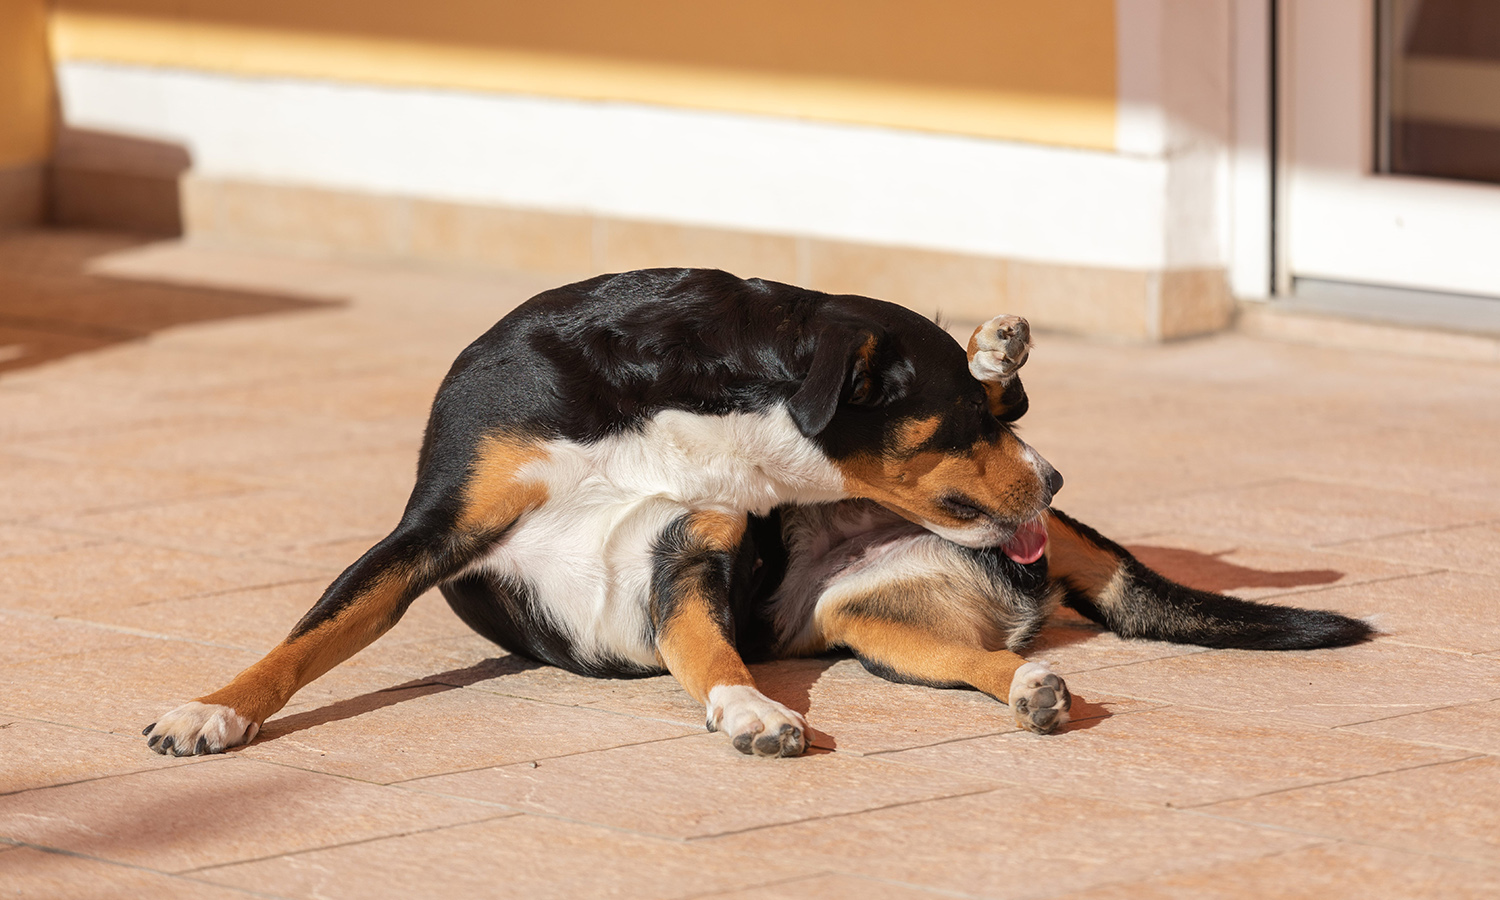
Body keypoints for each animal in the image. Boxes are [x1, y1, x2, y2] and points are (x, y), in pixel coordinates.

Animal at [146, 268, 1374, 759]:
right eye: (954, 422)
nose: (1055, 483)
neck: (673, 401)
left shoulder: (684, 561)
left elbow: (707, 654)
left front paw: (745, 713)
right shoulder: (431, 533)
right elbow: (303, 642)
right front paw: (214, 713)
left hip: (881, 621)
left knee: (991, 661)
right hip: (881, 624)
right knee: (981, 660)